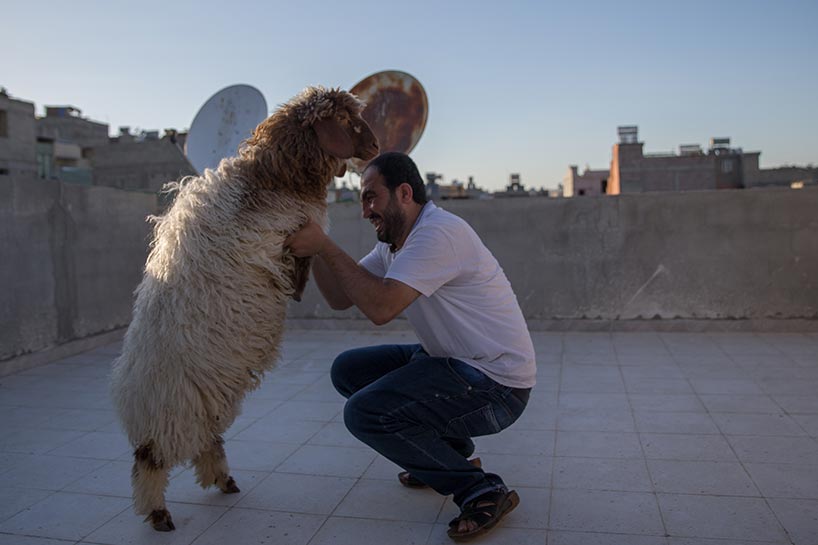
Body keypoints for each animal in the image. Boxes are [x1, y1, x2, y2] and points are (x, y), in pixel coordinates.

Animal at [109, 86, 379, 532]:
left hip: (209, 400)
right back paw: (159, 512)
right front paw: (296, 289)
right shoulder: (286, 235)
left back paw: (223, 480)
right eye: (342, 120)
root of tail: (132, 399)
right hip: (173, 413)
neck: (275, 174)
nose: (375, 146)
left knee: (207, 443)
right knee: (151, 460)